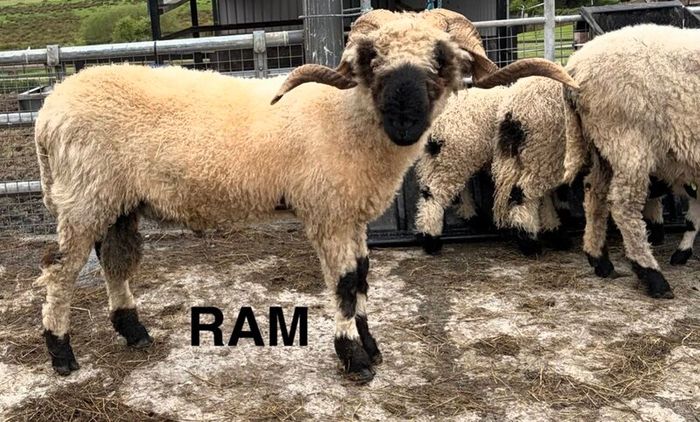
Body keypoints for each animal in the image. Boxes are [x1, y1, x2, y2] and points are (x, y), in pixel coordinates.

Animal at [34, 8, 578, 382]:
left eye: (441, 59)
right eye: (370, 59)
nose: (405, 120)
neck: (348, 119)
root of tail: (49, 109)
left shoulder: (352, 215)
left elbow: (362, 278)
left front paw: (369, 344)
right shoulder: (328, 211)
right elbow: (343, 285)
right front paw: (354, 358)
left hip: (116, 201)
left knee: (114, 259)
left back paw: (134, 333)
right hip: (84, 197)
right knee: (60, 269)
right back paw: (61, 353)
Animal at [562, 24, 700, 299]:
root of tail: (576, 65)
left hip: (602, 144)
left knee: (594, 193)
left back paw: (600, 261)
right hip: (628, 138)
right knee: (623, 205)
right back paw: (653, 277)